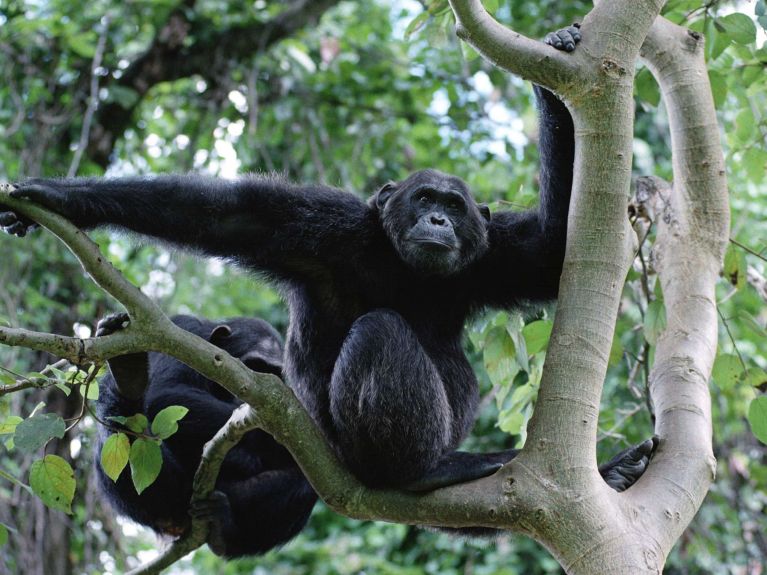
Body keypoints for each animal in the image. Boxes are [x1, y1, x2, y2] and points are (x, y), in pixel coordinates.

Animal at [3, 27, 656, 500]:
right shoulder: (323, 225)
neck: (399, 264)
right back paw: (423, 472)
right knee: (378, 334)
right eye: (425, 198)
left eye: (453, 205)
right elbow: (228, 214)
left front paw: (555, 70)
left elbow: (550, 252)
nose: (438, 221)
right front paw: (58, 198)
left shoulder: (493, 254)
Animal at [95, 312, 318, 560]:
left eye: (271, 375)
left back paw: (223, 529)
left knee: (305, 480)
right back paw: (127, 373)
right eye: (254, 367)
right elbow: (168, 393)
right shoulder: (180, 334)